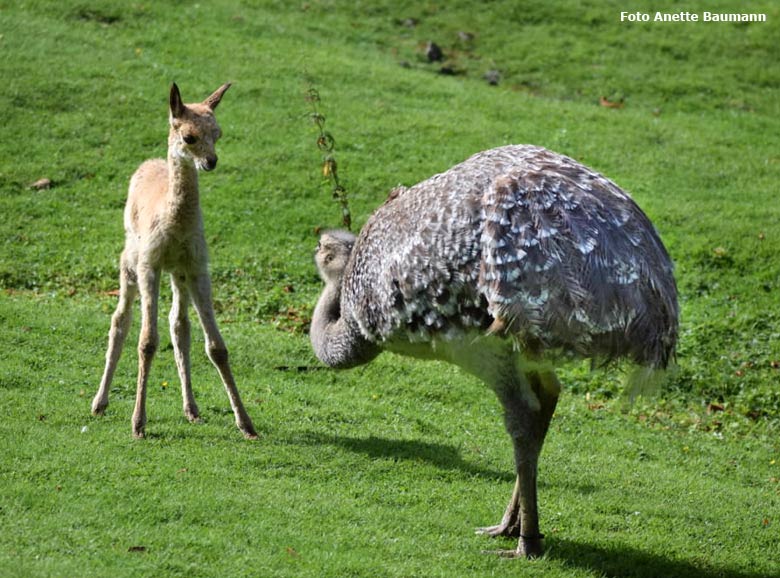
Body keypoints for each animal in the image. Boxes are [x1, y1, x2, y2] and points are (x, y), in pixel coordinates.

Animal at [91, 83, 256, 438]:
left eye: (218, 133)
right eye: (189, 137)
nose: (211, 161)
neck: (175, 224)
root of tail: (148, 164)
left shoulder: (196, 266)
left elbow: (216, 346)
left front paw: (247, 424)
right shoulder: (149, 265)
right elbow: (147, 342)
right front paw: (138, 423)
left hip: (176, 275)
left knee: (179, 325)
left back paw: (191, 409)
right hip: (129, 262)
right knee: (120, 319)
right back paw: (99, 403)